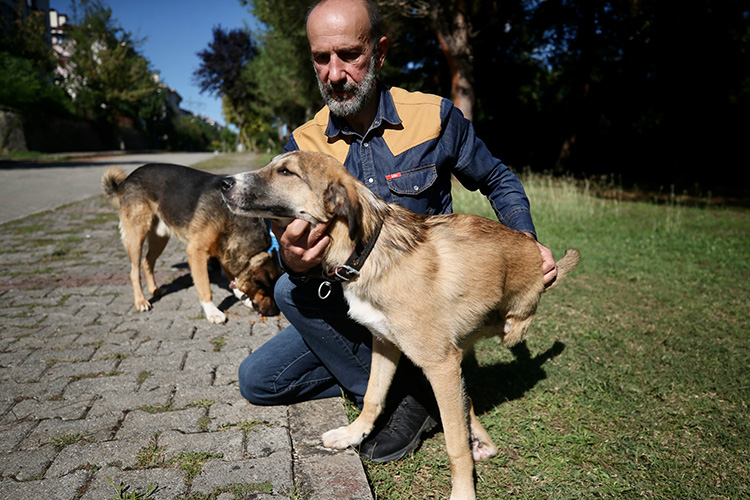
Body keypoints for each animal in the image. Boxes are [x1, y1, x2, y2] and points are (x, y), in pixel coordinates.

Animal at [101, 162, 284, 322]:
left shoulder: (225, 252)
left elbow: (234, 279)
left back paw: (154, 290)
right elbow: (204, 286)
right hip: (136, 235)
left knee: (147, 262)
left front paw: (241, 296)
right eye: (266, 290)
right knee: (134, 271)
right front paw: (212, 312)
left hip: (160, 237)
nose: (274, 312)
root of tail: (127, 179)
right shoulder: (197, 252)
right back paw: (140, 301)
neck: (232, 218)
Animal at [220, 150, 580, 498]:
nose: (224, 183)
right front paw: (352, 434)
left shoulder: (441, 364)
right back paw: (481, 439)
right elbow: (372, 397)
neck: (366, 252)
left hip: (507, 327)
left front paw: (463, 492)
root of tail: (533, 250)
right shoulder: (384, 343)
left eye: (286, 172)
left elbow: (455, 445)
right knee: (467, 398)